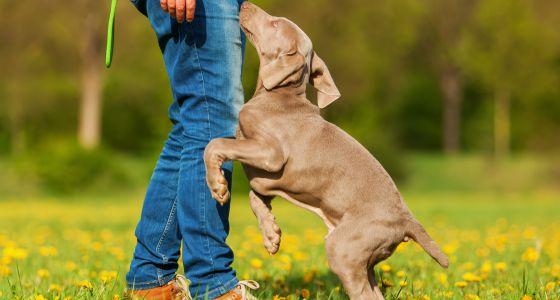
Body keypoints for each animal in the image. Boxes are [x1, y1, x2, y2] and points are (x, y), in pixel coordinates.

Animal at [203, 1, 448, 298]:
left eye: (275, 23)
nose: (246, 4)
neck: (279, 94)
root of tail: (406, 221)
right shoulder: (264, 176)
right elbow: (254, 195)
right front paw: (271, 234)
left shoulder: (272, 155)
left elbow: (216, 144)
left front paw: (217, 186)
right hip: (363, 254)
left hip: (343, 248)